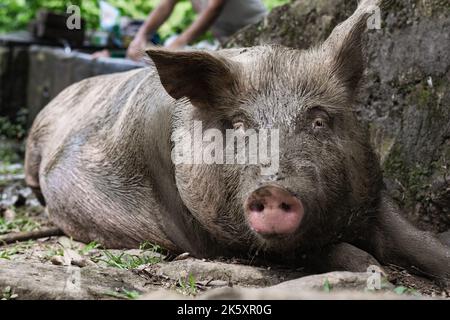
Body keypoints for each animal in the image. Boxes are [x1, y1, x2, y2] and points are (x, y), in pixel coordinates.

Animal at [26, 0, 448, 284]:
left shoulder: (375, 194)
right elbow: (321, 250)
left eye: (318, 120)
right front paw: (376, 272)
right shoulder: (204, 235)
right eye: (239, 123)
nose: (273, 189)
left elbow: (420, 241)